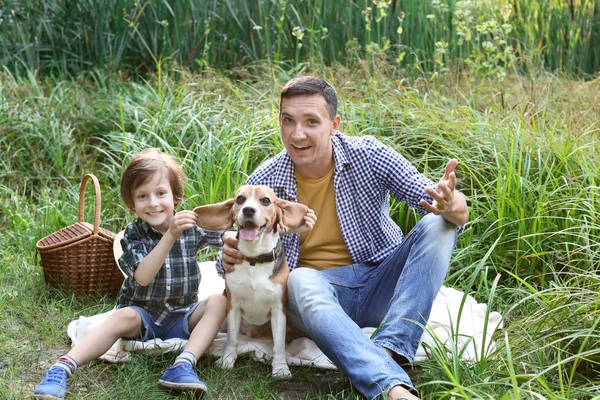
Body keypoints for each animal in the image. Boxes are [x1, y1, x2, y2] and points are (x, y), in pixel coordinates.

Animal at [195, 185, 310, 378]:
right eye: (240, 199)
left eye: (265, 200)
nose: (248, 210)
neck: (254, 258)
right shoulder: (233, 306)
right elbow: (232, 338)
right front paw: (227, 360)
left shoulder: (278, 310)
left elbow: (279, 344)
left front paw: (280, 367)